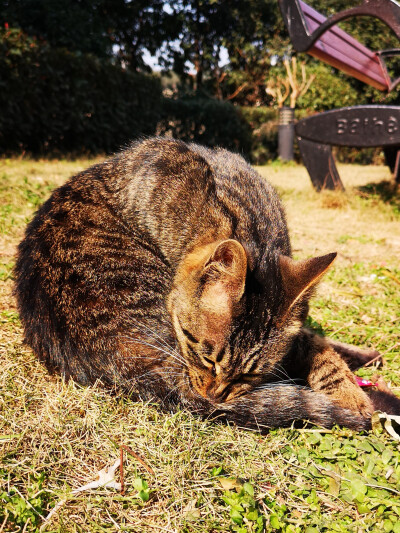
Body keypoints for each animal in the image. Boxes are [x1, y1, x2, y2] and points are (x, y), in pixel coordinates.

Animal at [13, 137, 400, 432]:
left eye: (250, 374)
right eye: (204, 354)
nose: (213, 396)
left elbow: (314, 341)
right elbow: (313, 344)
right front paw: (353, 392)